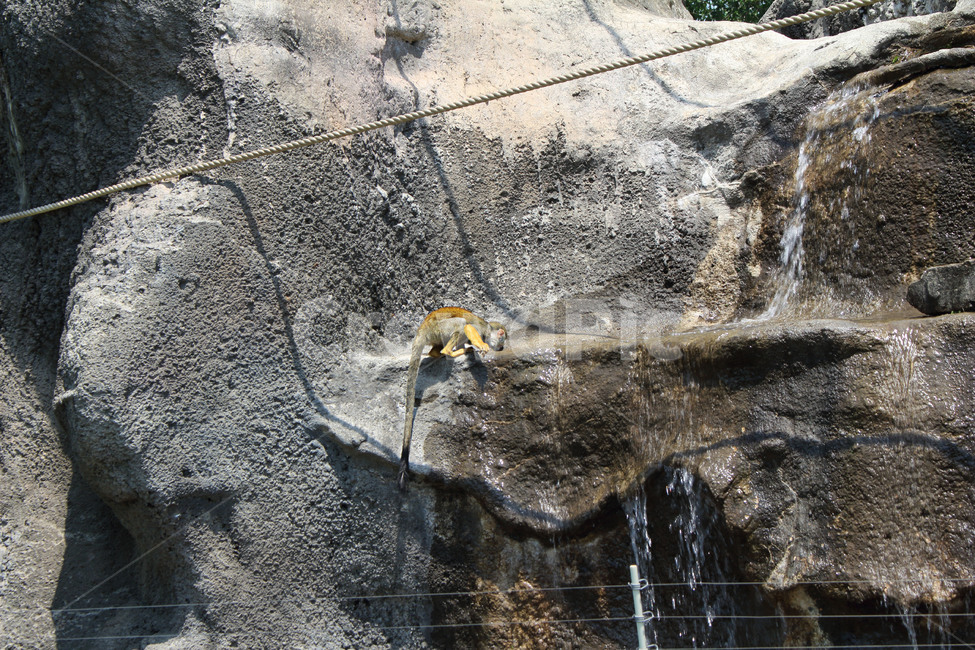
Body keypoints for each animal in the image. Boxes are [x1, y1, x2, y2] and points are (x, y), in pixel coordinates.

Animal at [398, 307, 507, 492]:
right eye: (502, 340)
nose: (502, 348)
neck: (487, 329)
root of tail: (422, 327)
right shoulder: (480, 328)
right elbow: (469, 327)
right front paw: (481, 345)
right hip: (437, 328)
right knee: (460, 324)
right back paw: (448, 352)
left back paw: (439, 353)